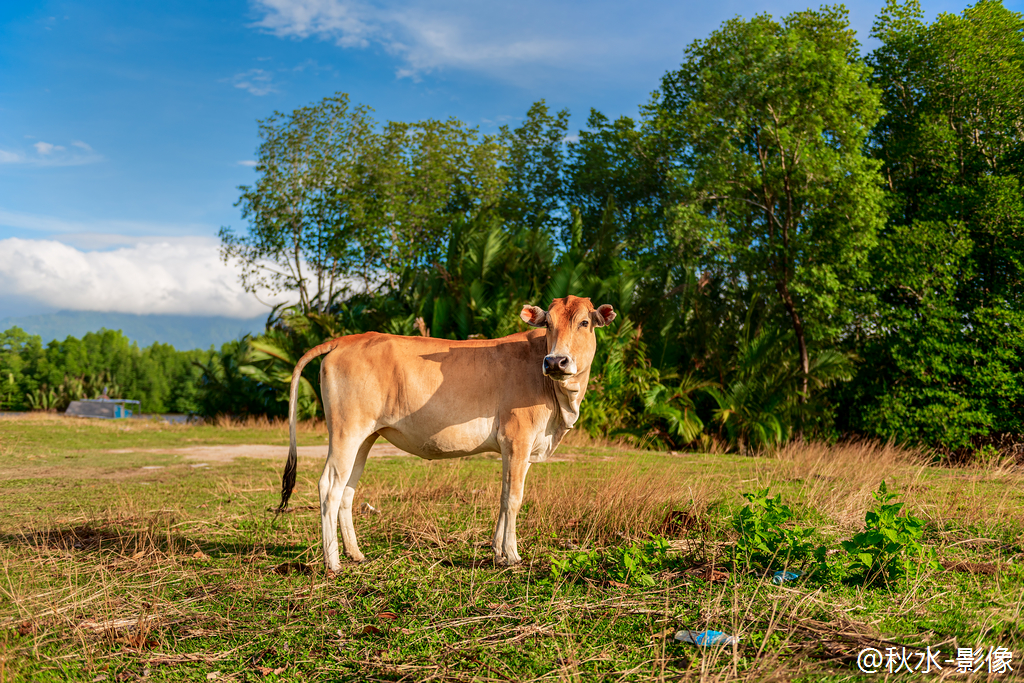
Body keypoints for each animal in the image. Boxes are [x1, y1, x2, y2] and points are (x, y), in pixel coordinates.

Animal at [278, 296, 614, 569]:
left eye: (584, 322)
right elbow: (514, 499)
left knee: (347, 490)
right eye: (548, 324)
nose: (555, 361)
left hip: (365, 437)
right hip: (346, 431)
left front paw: (497, 552)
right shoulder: (517, 440)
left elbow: (504, 495)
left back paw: (355, 553)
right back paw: (333, 562)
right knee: (328, 487)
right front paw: (512, 555)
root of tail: (347, 340)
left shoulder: (517, 448)